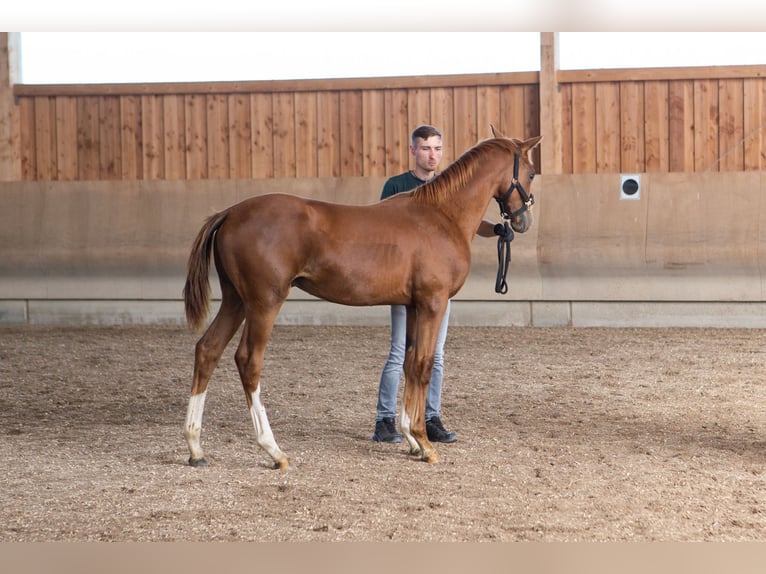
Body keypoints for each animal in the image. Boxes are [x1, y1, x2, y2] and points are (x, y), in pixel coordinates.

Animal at [182, 126, 542, 468]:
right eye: (531, 172)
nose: (523, 221)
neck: (441, 216)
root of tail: (230, 213)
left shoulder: (413, 306)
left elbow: (409, 362)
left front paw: (411, 439)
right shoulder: (433, 303)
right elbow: (423, 365)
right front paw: (425, 444)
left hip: (236, 301)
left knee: (208, 350)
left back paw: (196, 448)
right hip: (264, 303)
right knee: (248, 361)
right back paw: (273, 451)